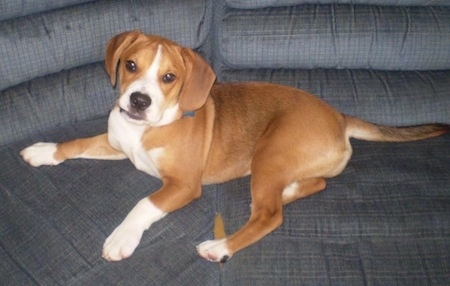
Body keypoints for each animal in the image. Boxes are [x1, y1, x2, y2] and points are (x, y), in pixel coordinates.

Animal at [20, 31, 446, 264]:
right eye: (130, 65)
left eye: (169, 77)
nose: (138, 101)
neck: (146, 129)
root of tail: (340, 117)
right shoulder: (115, 143)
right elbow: (76, 142)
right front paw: (44, 151)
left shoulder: (183, 185)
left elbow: (143, 204)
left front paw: (122, 237)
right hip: (280, 163)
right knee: (314, 184)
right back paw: (291, 189)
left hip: (270, 152)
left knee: (269, 216)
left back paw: (220, 246)